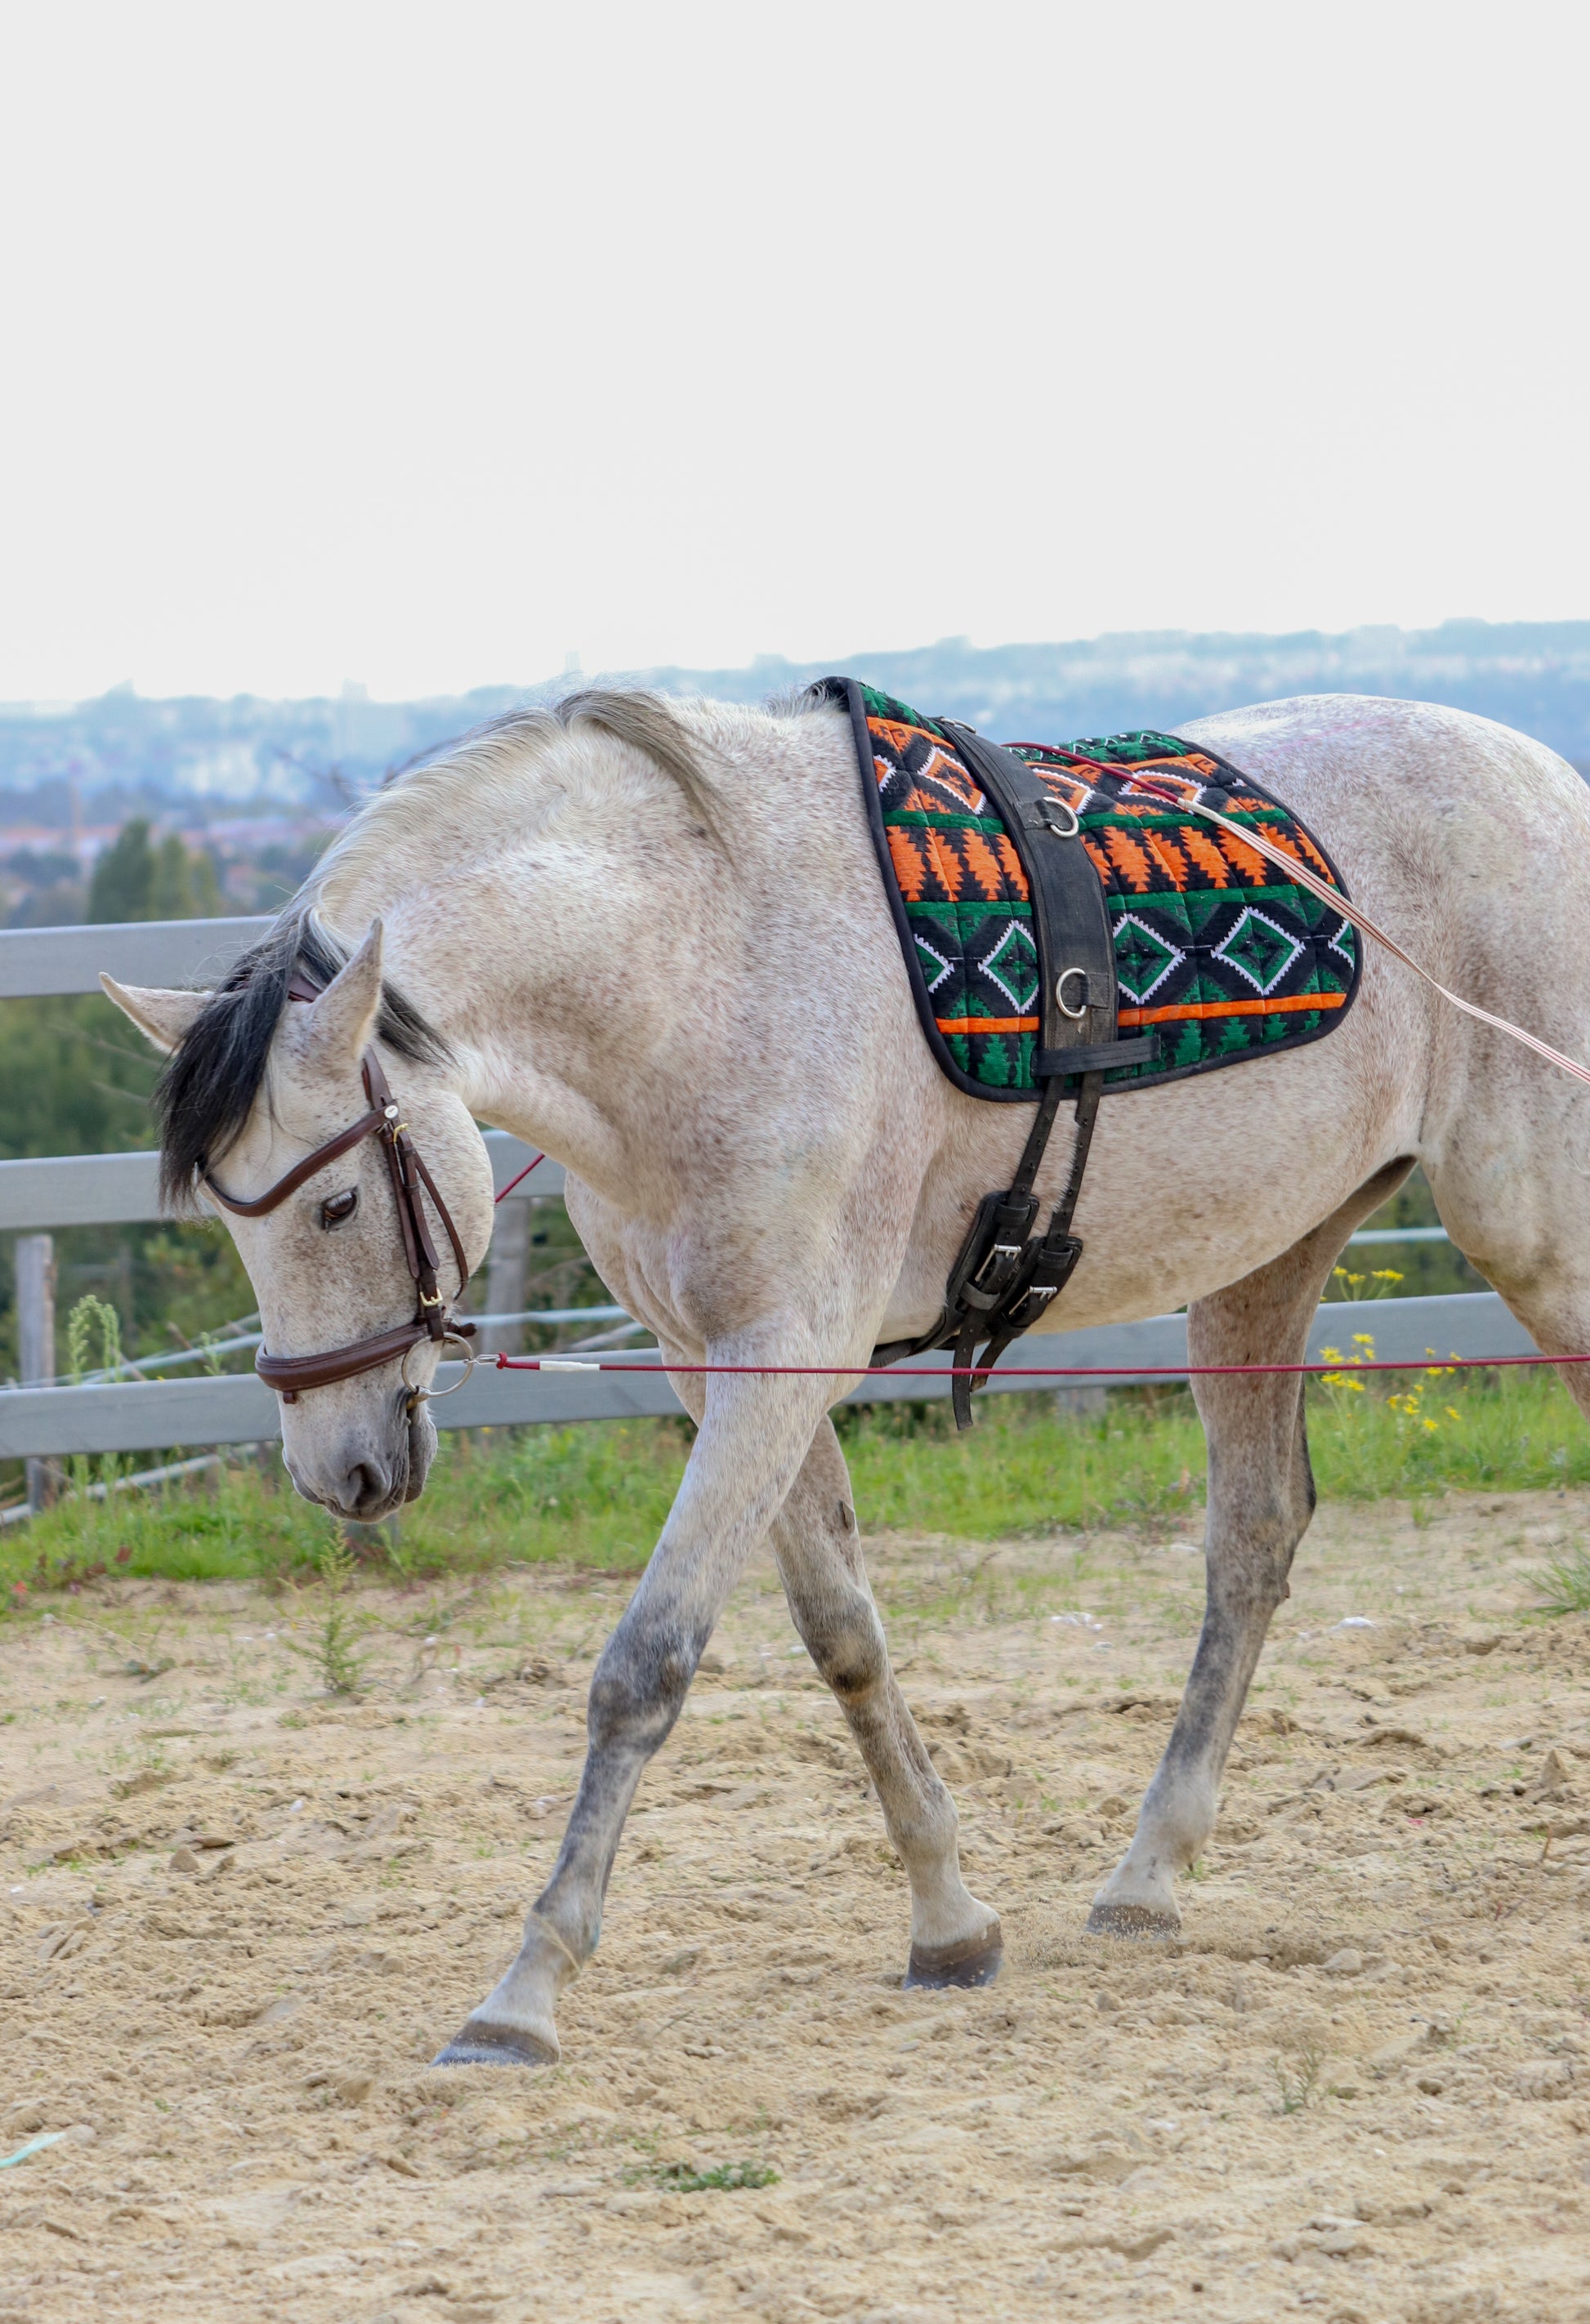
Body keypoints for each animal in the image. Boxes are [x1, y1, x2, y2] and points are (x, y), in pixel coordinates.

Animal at [103, 683, 1590, 2068]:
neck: (701, 959)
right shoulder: (717, 1363)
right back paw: (1147, 1875)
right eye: (231, 1221)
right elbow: (842, 1634)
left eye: (337, 1204)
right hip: (1265, 1261)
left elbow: (646, 1662)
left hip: (1534, 1236)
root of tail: (1543, 779)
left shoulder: (779, 1349)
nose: (338, 1469)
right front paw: (949, 1922)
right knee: (1253, 1541)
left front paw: (523, 1993)